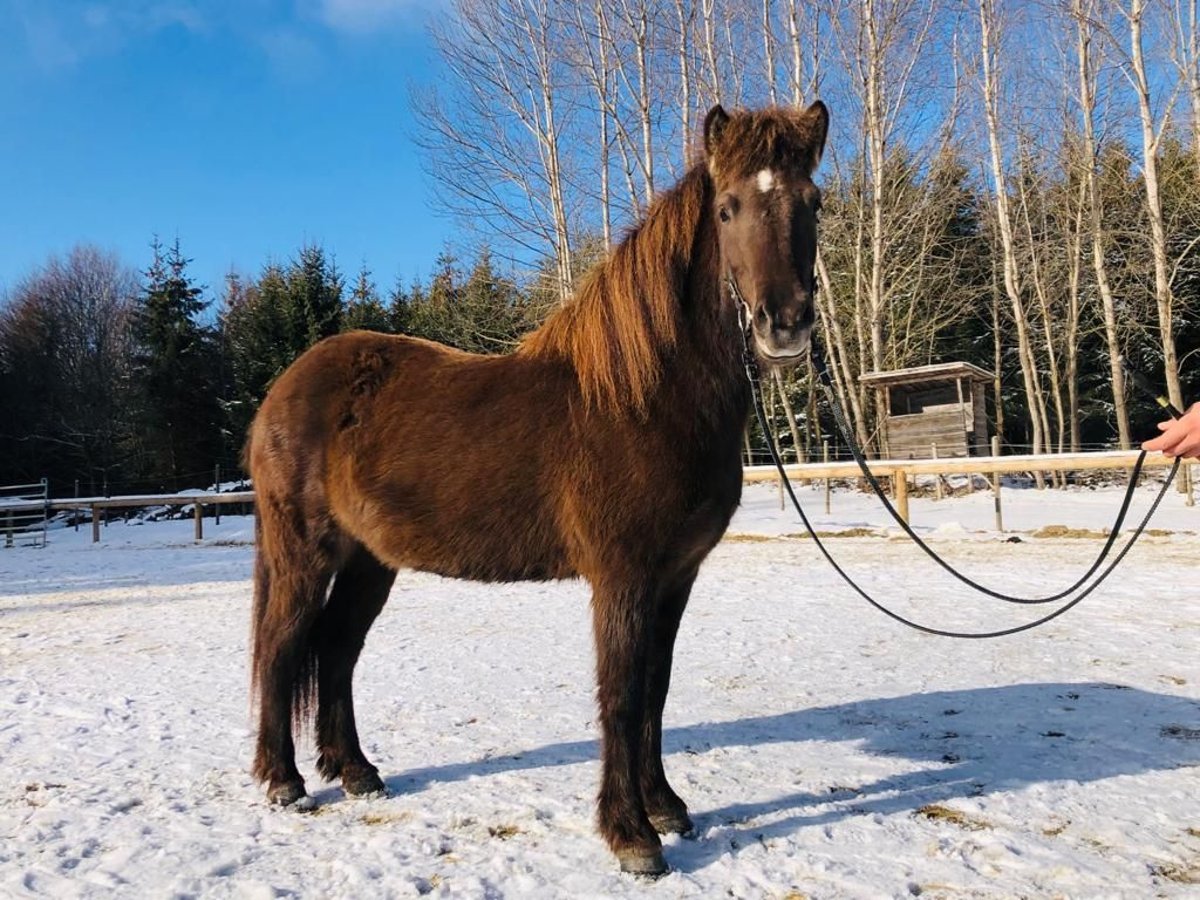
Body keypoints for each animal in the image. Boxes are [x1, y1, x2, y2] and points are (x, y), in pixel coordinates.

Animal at [243, 102, 825, 878]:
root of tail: (285, 390)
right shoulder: (623, 576)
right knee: (281, 647)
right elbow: (622, 694)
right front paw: (631, 835)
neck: (646, 396)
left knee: (336, 649)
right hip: (304, 552)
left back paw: (358, 772)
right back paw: (284, 781)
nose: (783, 324)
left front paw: (666, 808)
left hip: (371, 561)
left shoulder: (675, 577)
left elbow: (656, 691)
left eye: (813, 202)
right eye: (728, 208)